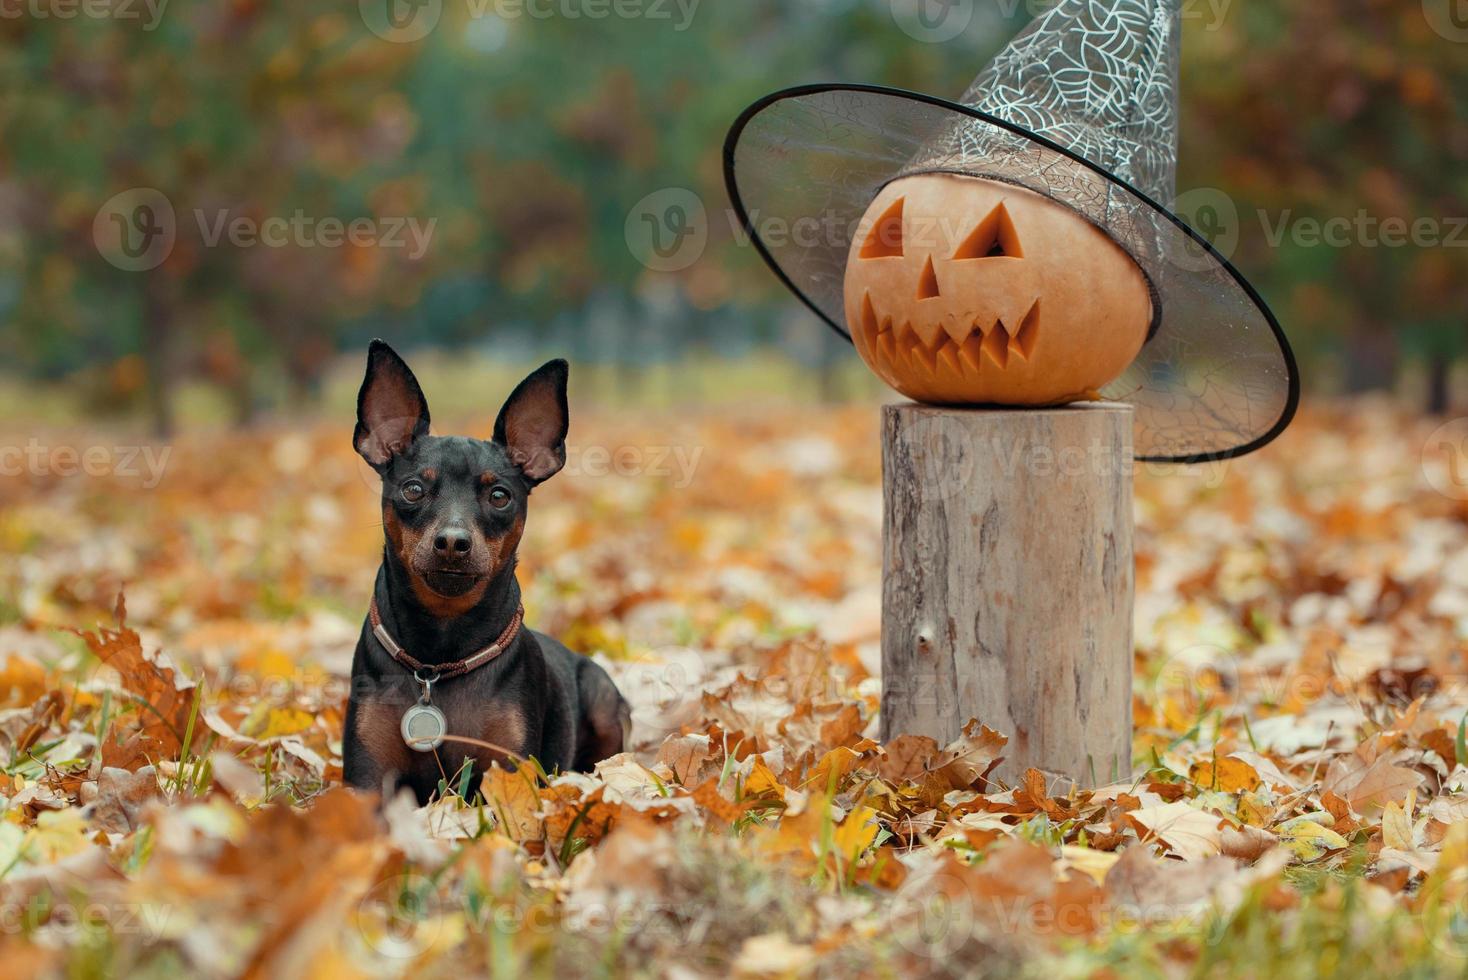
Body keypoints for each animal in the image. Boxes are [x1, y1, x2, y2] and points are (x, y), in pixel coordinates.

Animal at [346, 338, 628, 803]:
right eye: (413, 489)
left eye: (499, 496)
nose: (452, 542)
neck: (437, 662)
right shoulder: (366, 778)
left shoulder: (508, 769)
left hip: (602, 697)